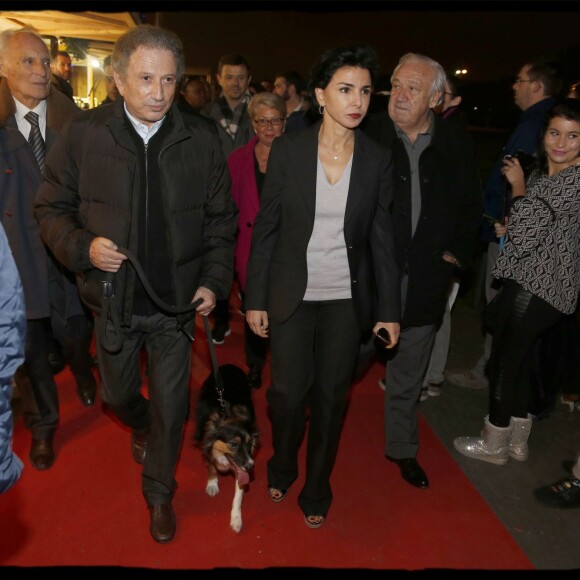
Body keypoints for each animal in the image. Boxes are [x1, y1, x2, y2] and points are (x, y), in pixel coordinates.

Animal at [194, 364, 260, 532]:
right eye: (234, 444)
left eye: (249, 442)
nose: (251, 466)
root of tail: (229, 365)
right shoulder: (207, 447)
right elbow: (211, 466)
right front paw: (212, 484)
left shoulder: (241, 469)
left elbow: (238, 496)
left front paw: (236, 519)